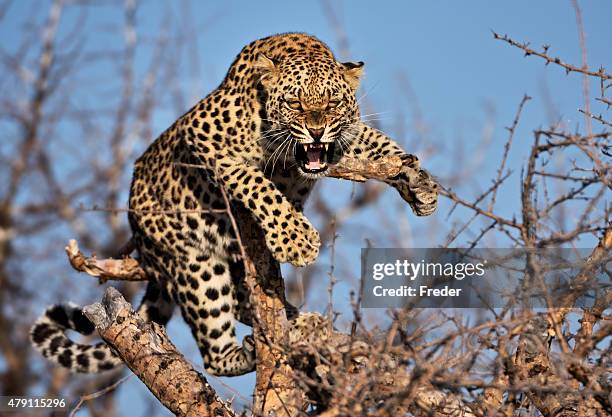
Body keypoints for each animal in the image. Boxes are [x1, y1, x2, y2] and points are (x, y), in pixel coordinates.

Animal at [31, 32, 438, 376]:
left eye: (332, 102)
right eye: (295, 102)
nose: (316, 130)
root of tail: (140, 239)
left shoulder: (349, 137)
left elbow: (384, 147)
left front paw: (421, 186)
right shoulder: (203, 135)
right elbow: (255, 184)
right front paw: (296, 240)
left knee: (246, 301)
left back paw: (302, 325)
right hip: (195, 263)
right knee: (214, 353)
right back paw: (252, 349)